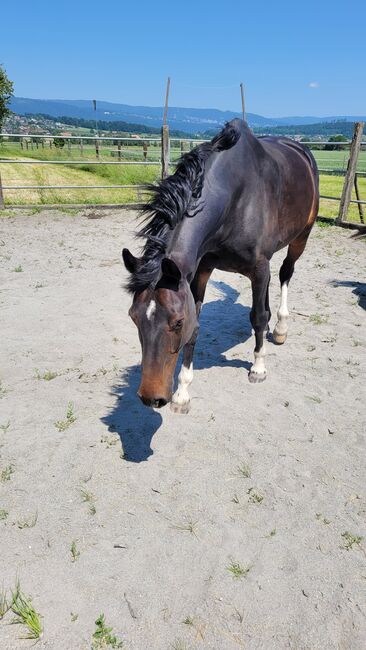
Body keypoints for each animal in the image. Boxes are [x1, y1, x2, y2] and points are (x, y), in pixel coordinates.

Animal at [122, 119, 318, 412]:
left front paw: (258, 367)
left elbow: (257, 316)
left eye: (177, 323)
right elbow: (198, 327)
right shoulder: (201, 271)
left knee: (285, 273)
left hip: (301, 236)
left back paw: (280, 329)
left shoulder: (258, 267)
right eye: (134, 317)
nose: (151, 398)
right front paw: (182, 392)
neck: (234, 199)